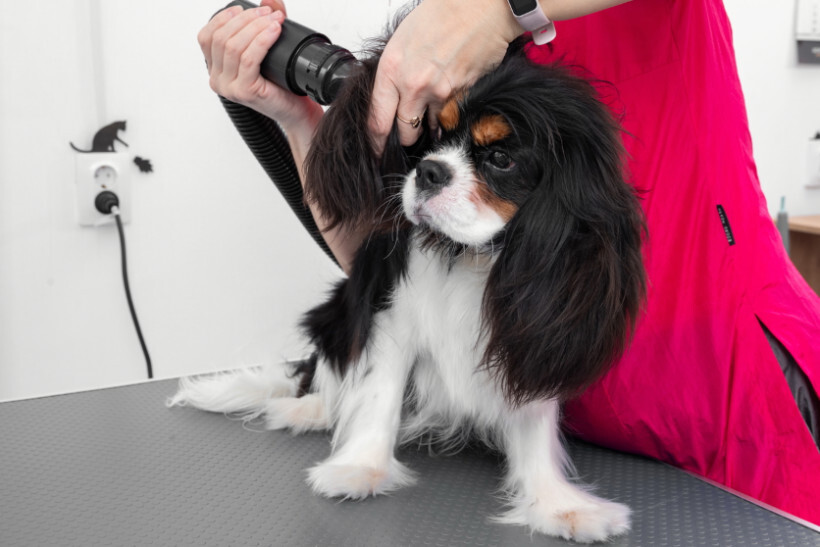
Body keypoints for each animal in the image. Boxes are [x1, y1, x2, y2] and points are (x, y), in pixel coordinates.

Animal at [171, 34, 648, 544]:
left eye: (500, 159)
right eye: (434, 136)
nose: (429, 171)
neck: (474, 255)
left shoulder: (532, 332)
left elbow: (535, 423)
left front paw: (561, 506)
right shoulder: (392, 318)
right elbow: (379, 392)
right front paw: (360, 469)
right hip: (336, 312)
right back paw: (308, 411)